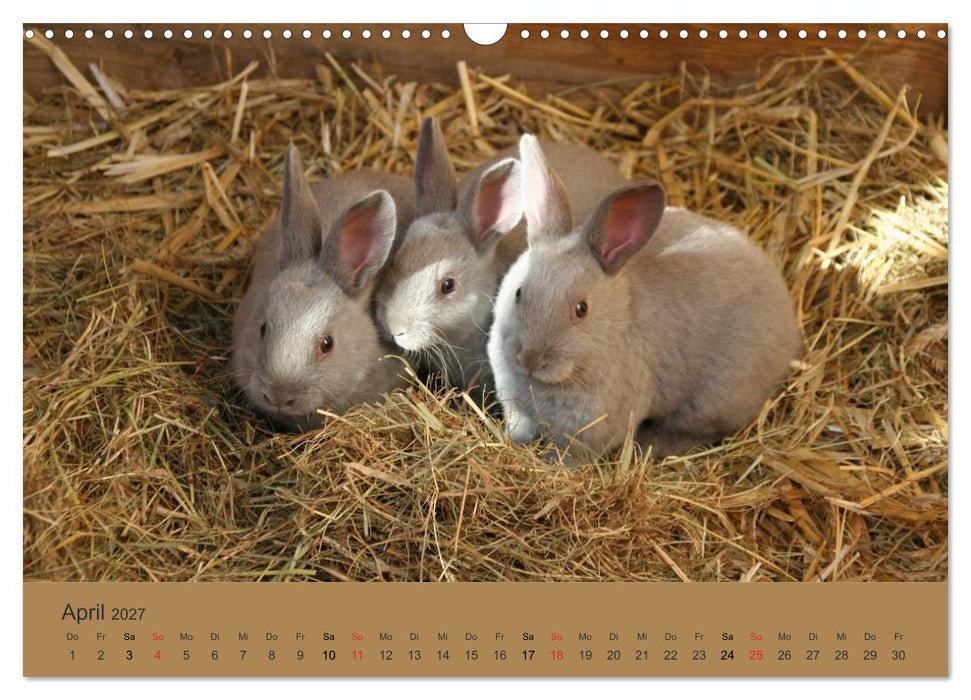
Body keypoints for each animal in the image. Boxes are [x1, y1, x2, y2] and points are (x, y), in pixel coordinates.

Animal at [487, 135, 802, 461]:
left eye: (581, 309)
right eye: (519, 292)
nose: (529, 358)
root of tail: (789, 328)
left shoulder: (587, 435)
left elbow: (568, 457)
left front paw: (549, 464)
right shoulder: (518, 412)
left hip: (712, 401)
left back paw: (650, 443)